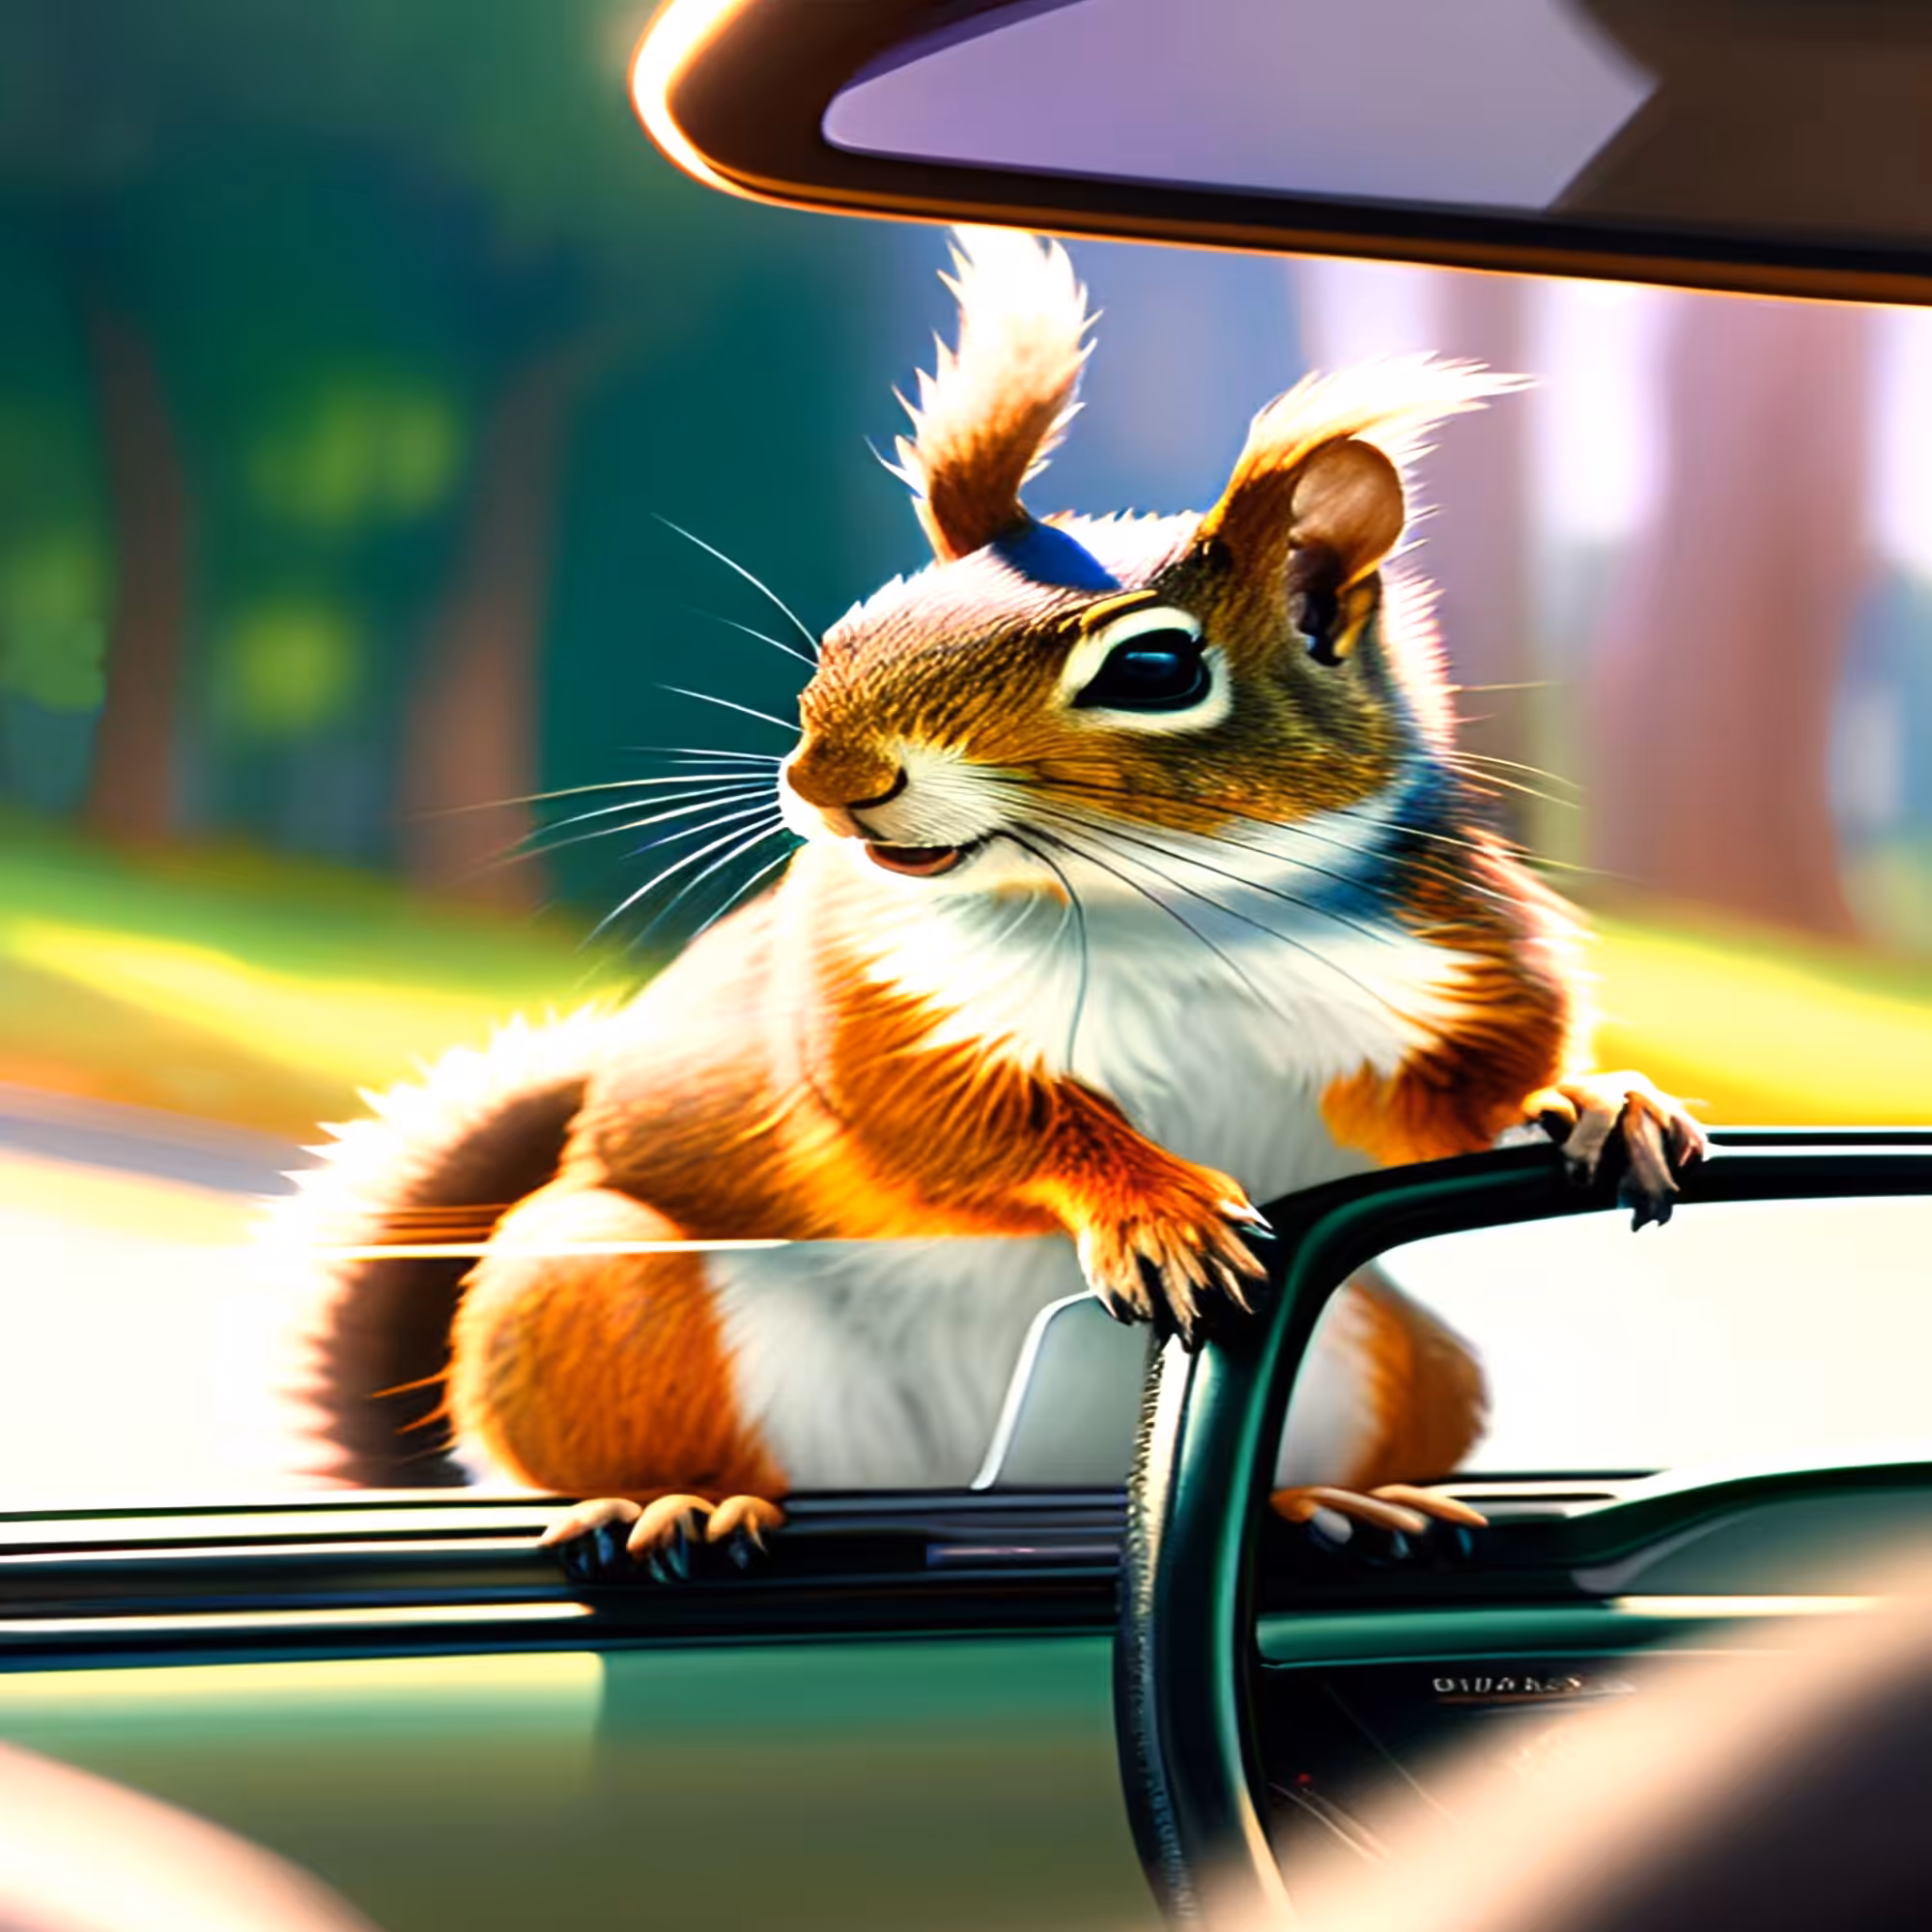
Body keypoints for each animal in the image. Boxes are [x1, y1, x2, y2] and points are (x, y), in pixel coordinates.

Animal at [268, 227, 1706, 1562]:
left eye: (1156, 668)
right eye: (853, 627)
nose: (830, 776)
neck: (1173, 913)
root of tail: (994, 1491)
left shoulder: (1455, 962)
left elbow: (1472, 1090)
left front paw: (1598, 1102)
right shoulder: (879, 991)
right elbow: (963, 1122)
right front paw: (1155, 1209)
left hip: (1386, 1347)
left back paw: (1334, 1498)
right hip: (586, 1292)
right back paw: (670, 1497)